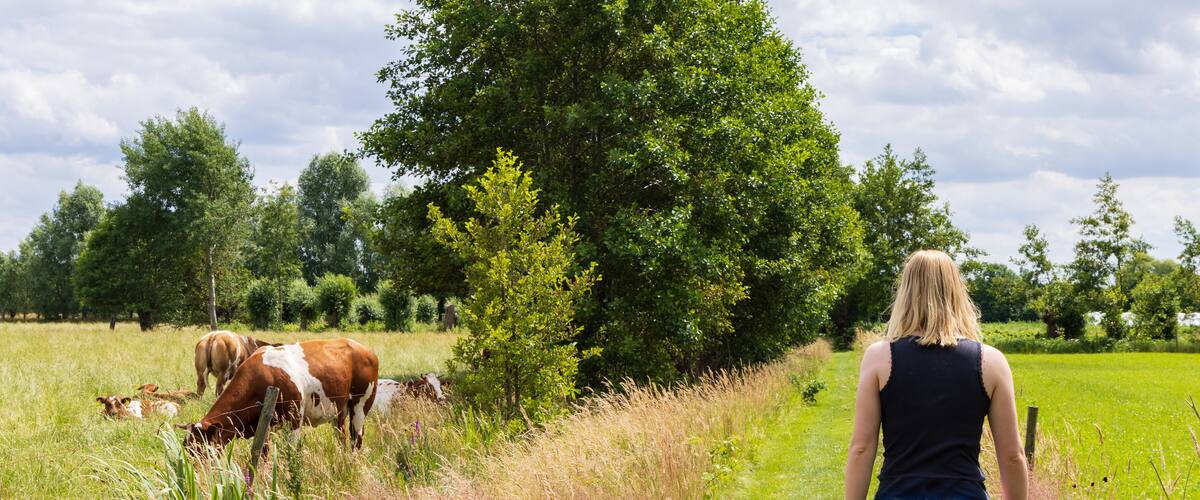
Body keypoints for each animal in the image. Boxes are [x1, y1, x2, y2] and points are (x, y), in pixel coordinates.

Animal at [178, 338, 379, 453]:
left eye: (198, 448)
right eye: (186, 447)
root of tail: (366, 350)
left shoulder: (294, 419)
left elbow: (291, 452)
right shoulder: (264, 425)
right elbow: (263, 454)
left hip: (361, 405)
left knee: (356, 438)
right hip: (339, 410)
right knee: (342, 437)